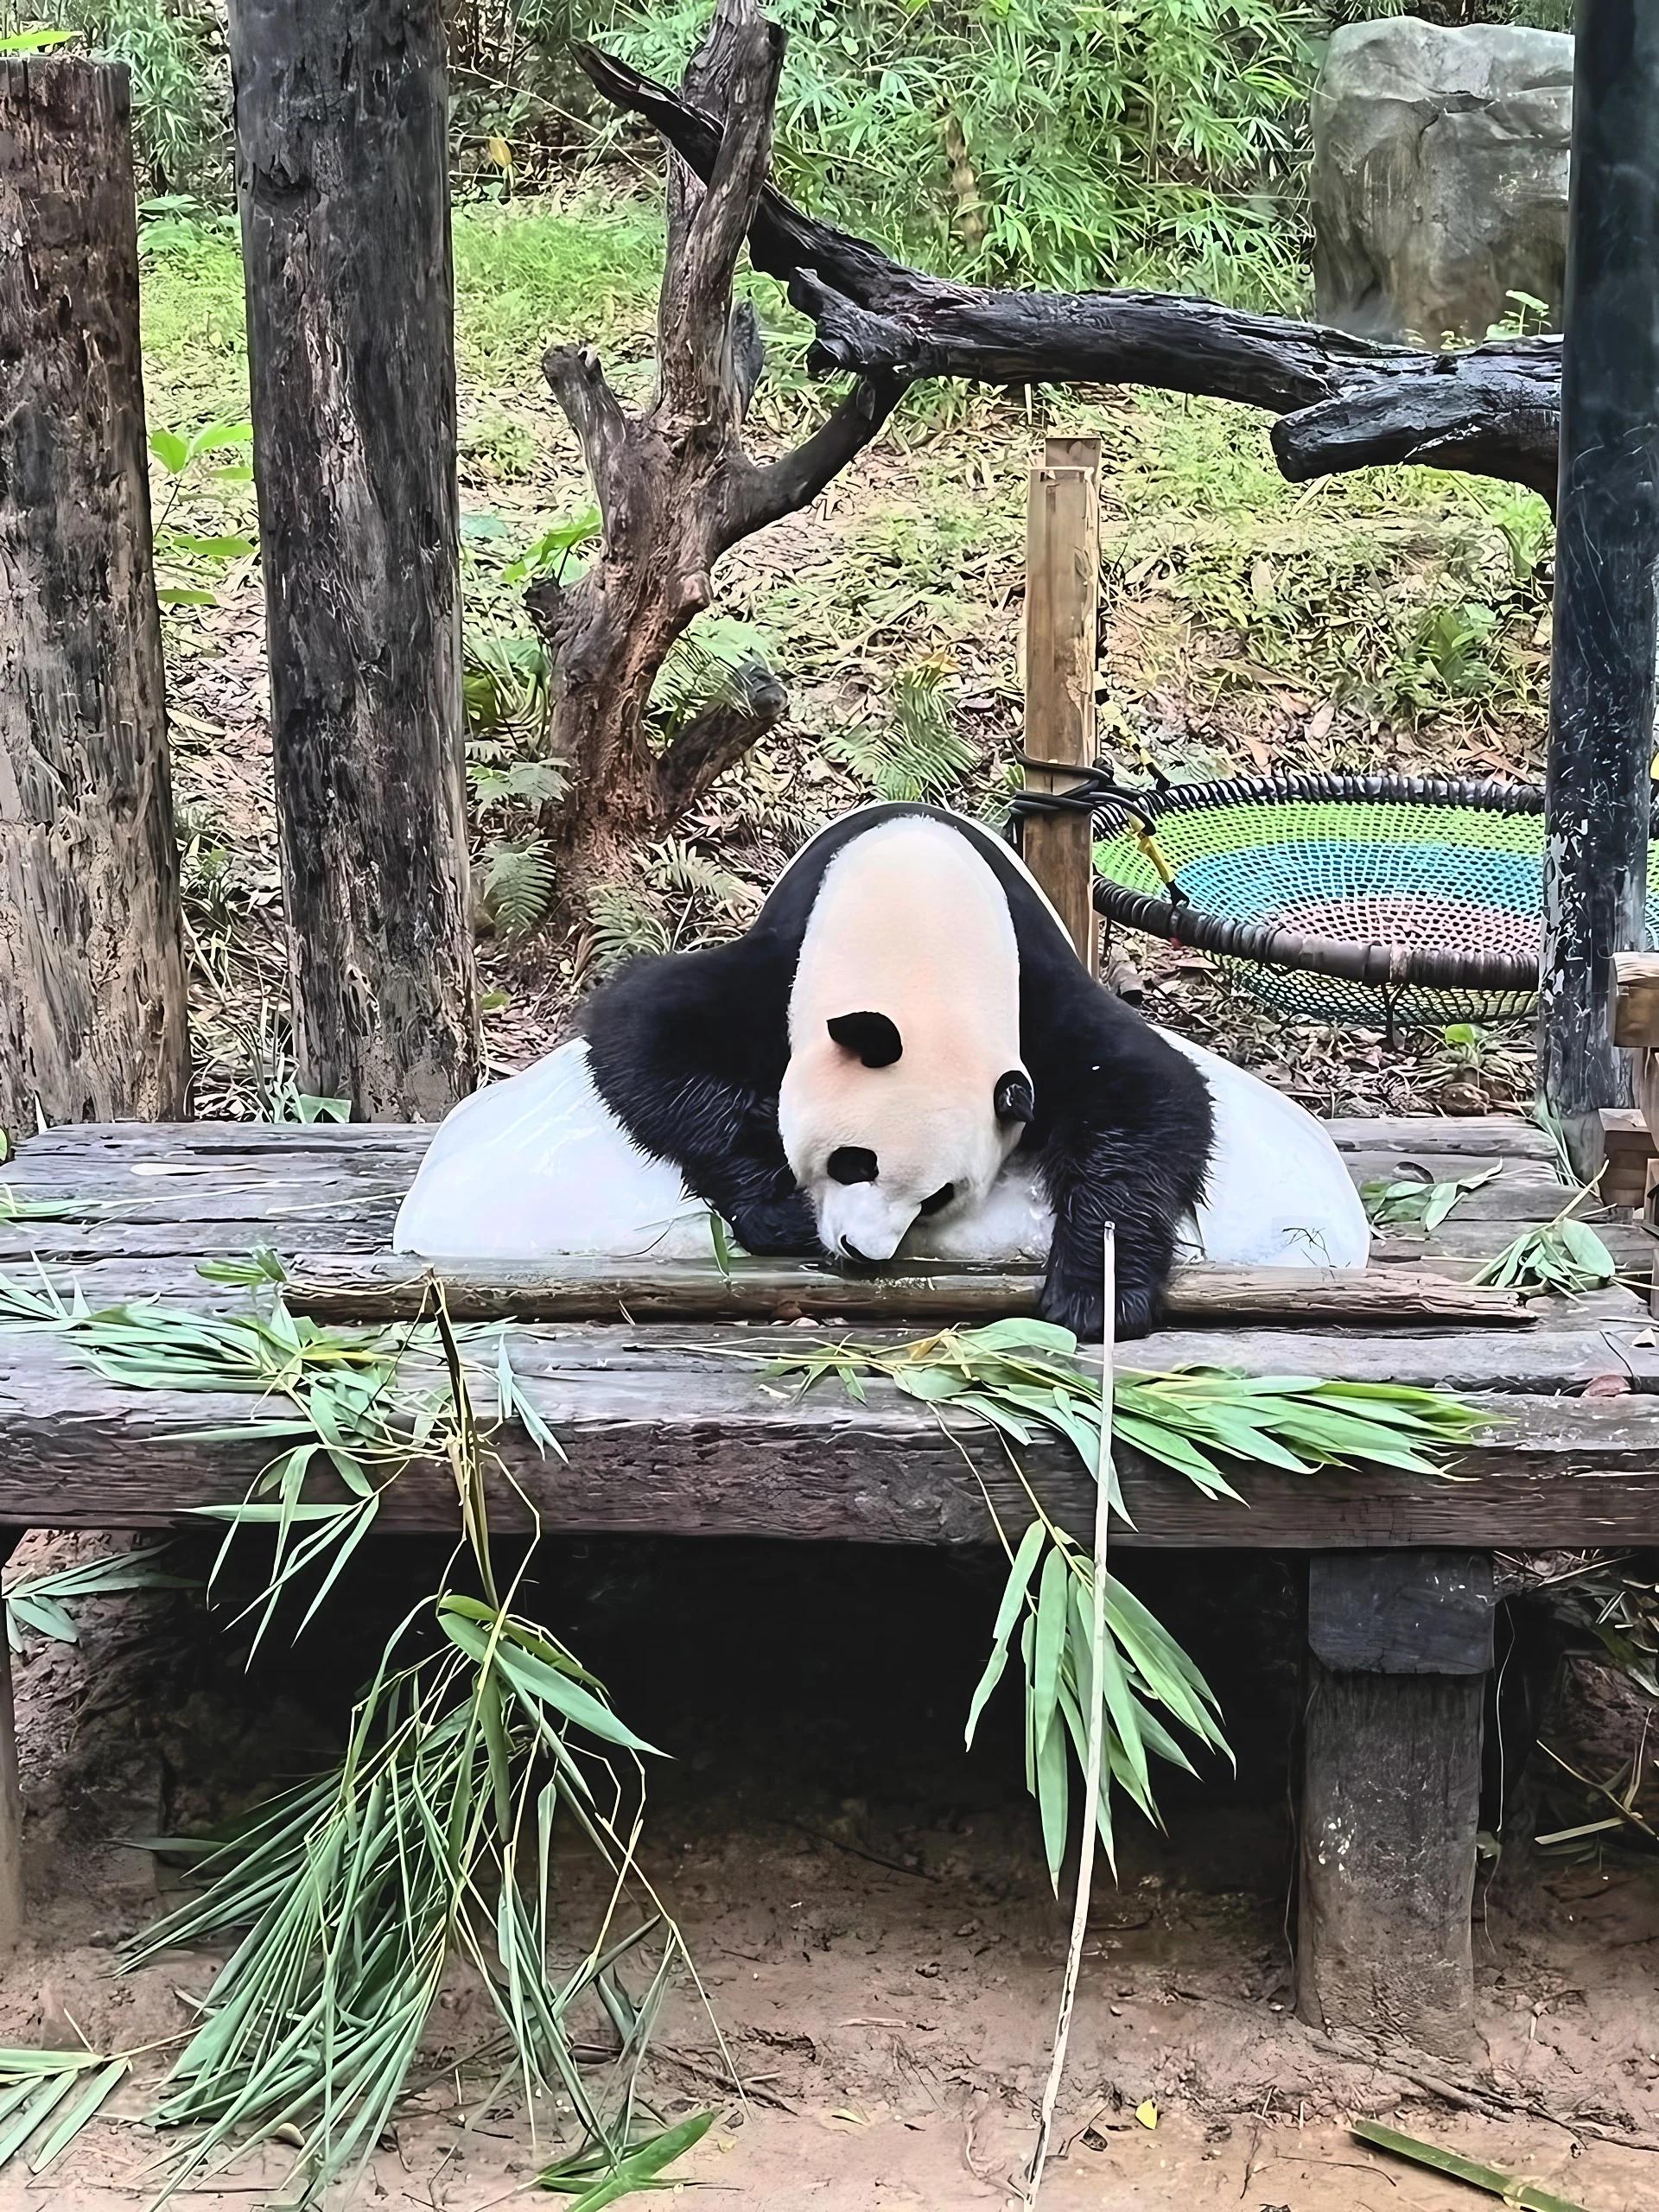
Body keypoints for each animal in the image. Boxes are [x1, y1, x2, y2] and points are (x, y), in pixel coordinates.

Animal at [582, 801, 1214, 1340]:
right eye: (855, 1162)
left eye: (938, 1197)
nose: (864, 1251)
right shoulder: (786, 967)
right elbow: (646, 1025)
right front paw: (780, 1212)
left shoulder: (1032, 991)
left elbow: (1145, 1091)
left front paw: (1095, 1293)